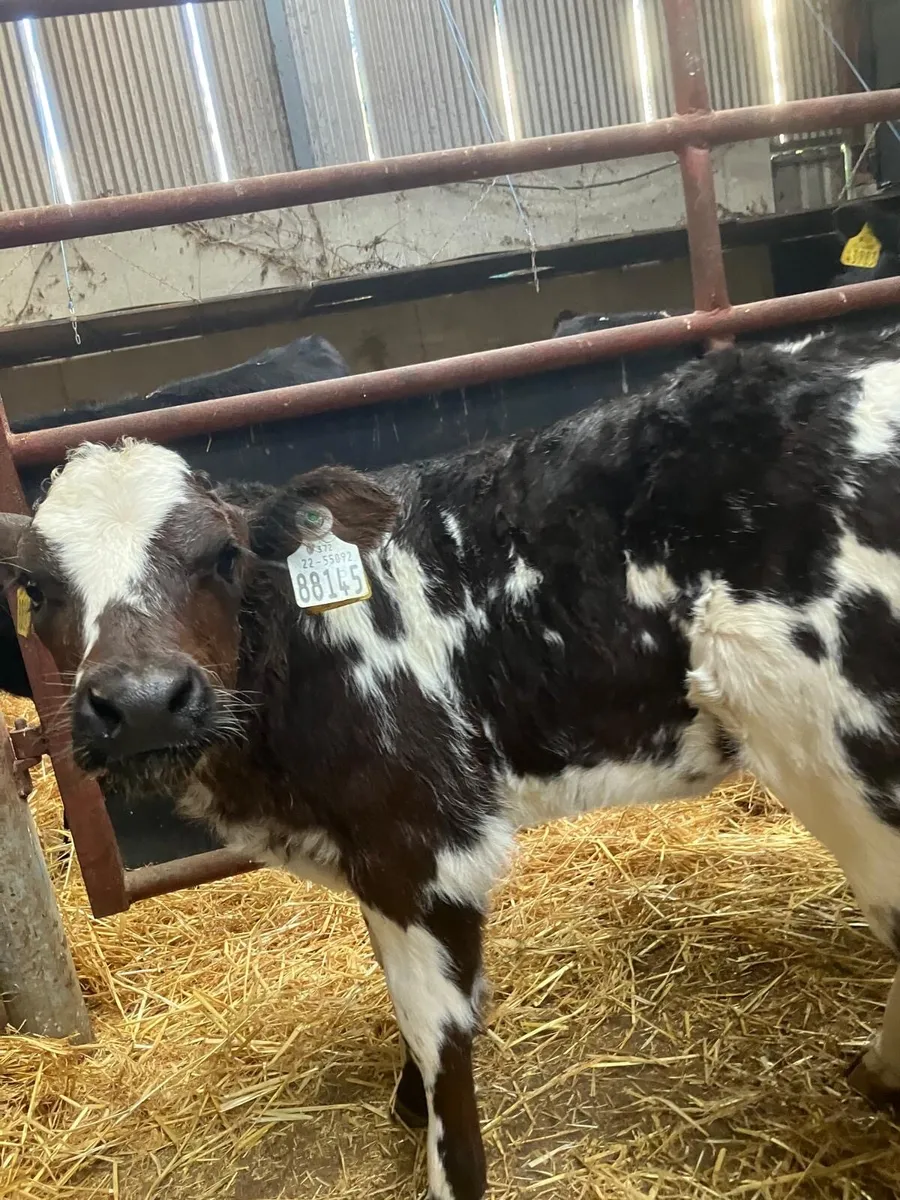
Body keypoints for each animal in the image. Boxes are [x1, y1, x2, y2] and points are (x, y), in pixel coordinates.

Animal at [3, 323, 900, 1199]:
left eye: (224, 555)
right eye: (35, 588)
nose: (144, 703)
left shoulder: (422, 840)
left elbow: (439, 1032)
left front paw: (445, 1159)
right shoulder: (374, 849)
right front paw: (407, 1099)